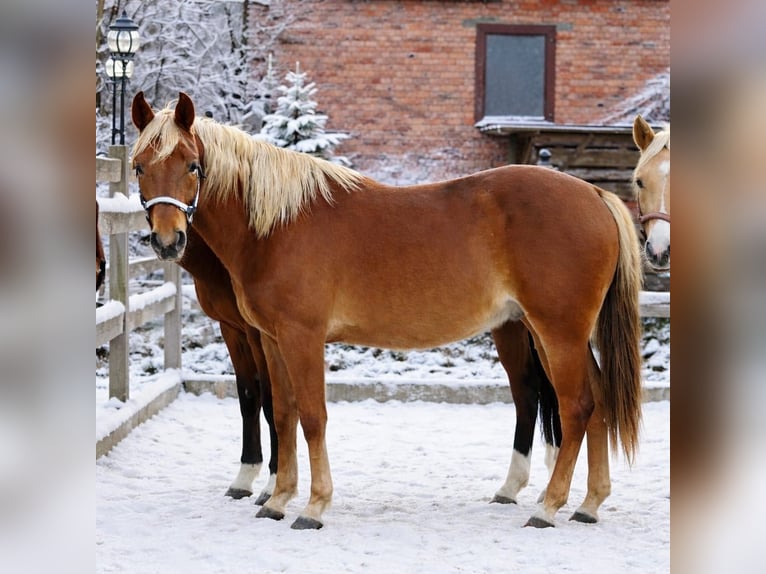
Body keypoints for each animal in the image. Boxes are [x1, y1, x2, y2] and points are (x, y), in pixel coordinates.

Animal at [178, 228, 278, 503]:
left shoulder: (259, 334)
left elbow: (273, 405)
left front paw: (273, 485)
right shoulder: (233, 330)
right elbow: (248, 399)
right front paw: (244, 478)